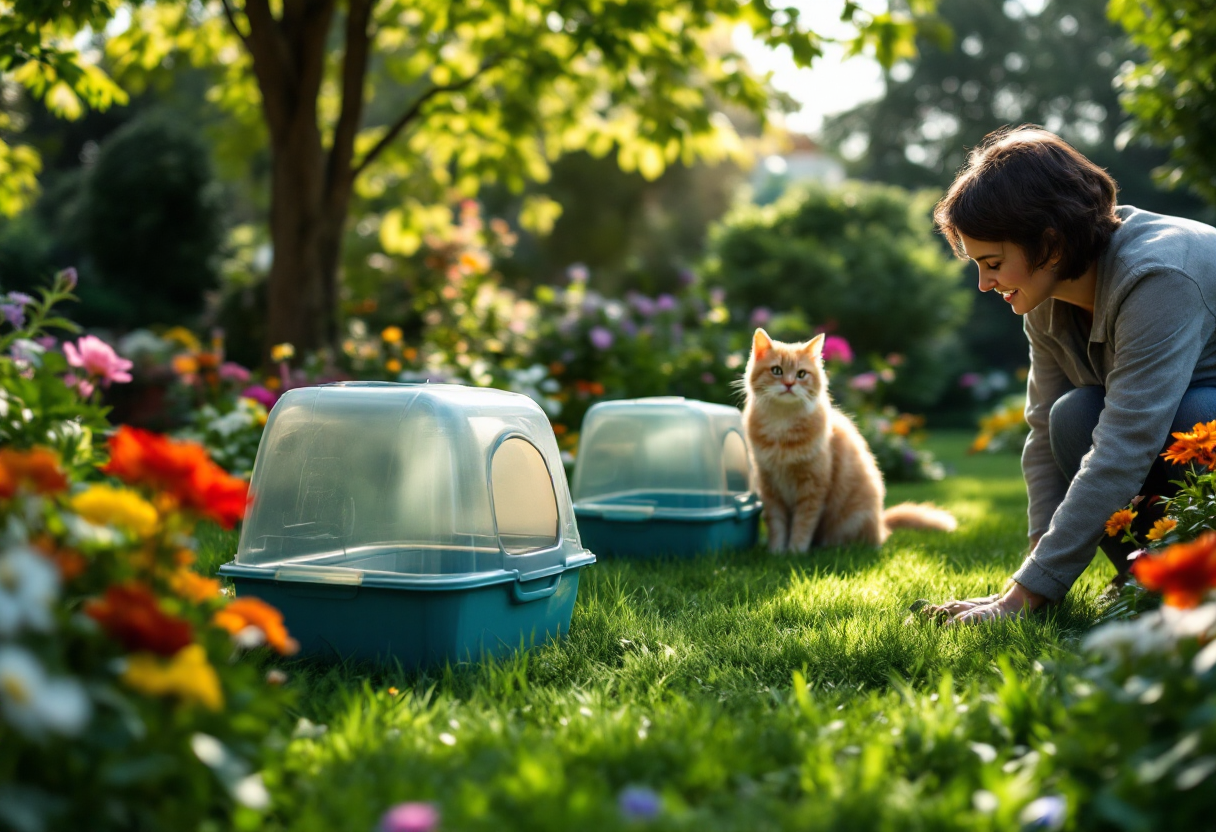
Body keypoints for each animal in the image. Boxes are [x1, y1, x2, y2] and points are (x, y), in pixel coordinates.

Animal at [739, 330, 958, 552]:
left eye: (801, 374)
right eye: (776, 370)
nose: (789, 384)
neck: (782, 423)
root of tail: (881, 524)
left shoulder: (813, 487)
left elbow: (803, 524)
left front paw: (795, 552)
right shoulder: (769, 486)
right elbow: (776, 525)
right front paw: (776, 552)